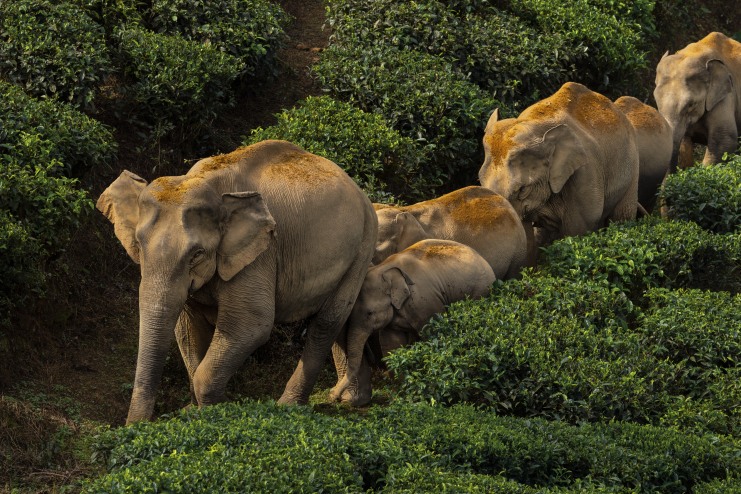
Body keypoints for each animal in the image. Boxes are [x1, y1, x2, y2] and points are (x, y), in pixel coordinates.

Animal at [97, 140, 376, 424]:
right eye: (139, 245)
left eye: (197, 254)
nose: (135, 426)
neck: (204, 181)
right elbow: (187, 328)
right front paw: (193, 411)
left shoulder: (261, 253)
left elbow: (251, 323)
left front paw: (215, 410)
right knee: (337, 321)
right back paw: (352, 398)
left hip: (362, 247)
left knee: (326, 322)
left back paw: (289, 406)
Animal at [328, 238, 492, 406]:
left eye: (369, 313)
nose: (331, 395)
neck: (384, 269)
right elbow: (391, 344)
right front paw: (400, 394)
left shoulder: (427, 303)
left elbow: (432, 336)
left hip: (480, 291)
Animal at [476, 82, 640, 246]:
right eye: (480, 180)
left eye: (523, 190)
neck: (535, 122)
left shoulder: (586, 173)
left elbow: (578, 229)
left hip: (633, 166)